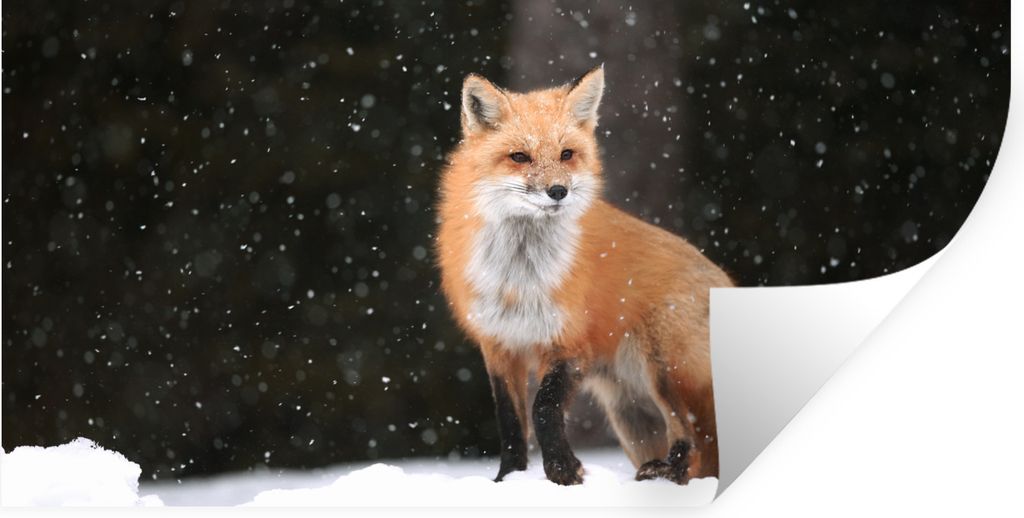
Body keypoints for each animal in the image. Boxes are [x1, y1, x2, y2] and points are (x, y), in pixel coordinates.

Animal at [435, 65, 734, 486]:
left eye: (566, 154)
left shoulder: (570, 343)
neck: (519, 279)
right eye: (519, 157)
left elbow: (544, 408)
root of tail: (727, 283)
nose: (557, 191)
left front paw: (563, 470)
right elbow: (510, 423)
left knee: (693, 437)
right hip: (632, 415)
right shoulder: (499, 345)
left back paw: (665, 471)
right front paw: (508, 479)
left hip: (666, 372)